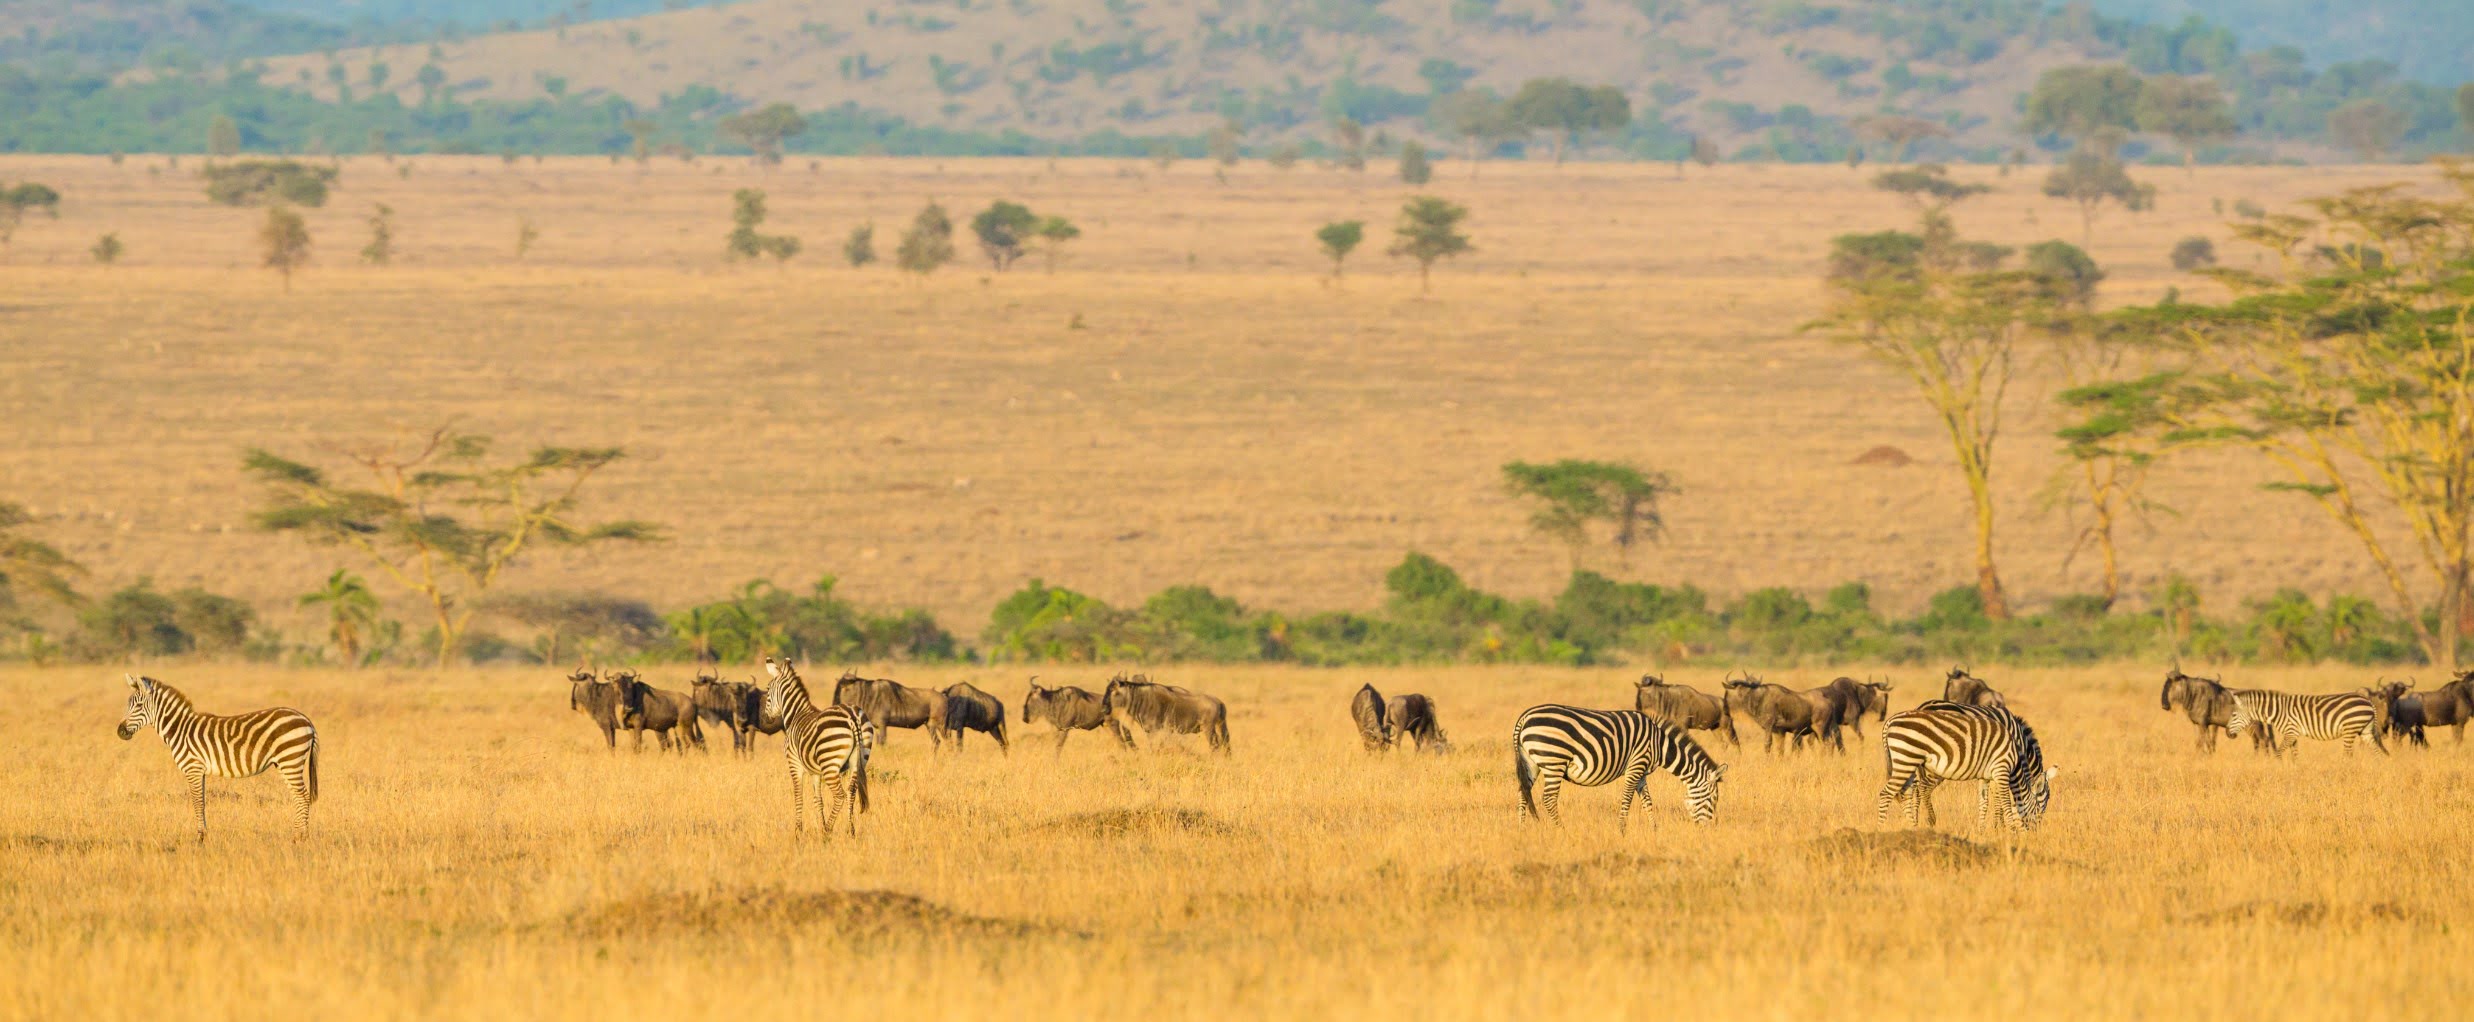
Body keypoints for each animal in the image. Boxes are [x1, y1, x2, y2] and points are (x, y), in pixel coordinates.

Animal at [114, 674, 319, 841]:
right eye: (128, 705)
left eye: (139, 706)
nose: (120, 732)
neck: (180, 729)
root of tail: (305, 718)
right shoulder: (200, 771)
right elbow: (202, 802)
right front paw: (203, 834)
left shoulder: (193, 768)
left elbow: (197, 802)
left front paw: (200, 837)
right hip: (285, 762)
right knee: (298, 796)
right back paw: (297, 834)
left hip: (290, 759)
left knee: (302, 796)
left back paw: (301, 837)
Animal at [762, 657, 874, 838]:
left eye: (767, 689)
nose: (766, 718)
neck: (796, 714)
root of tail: (852, 716)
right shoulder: (815, 771)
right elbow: (818, 800)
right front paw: (819, 824)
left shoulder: (794, 763)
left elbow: (798, 796)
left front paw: (798, 831)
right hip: (859, 760)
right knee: (851, 792)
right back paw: (850, 831)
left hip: (830, 763)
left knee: (840, 795)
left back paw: (827, 831)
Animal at [1513, 705, 1727, 827]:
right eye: (1713, 799)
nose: (1707, 829)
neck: (1658, 744)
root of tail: (1524, 717)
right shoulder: (1636, 766)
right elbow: (1627, 800)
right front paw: (1622, 830)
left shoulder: (1642, 773)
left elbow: (1648, 802)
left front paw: (1654, 830)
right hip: (1554, 760)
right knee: (1548, 798)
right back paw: (1560, 829)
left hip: (1531, 762)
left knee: (1524, 792)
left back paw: (1522, 830)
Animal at [1876, 700, 2053, 832]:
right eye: (2044, 801)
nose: (2036, 832)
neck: (2018, 740)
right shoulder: (1999, 768)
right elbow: (1999, 799)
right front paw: (2000, 827)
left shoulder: (1988, 771)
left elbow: (1985, 801)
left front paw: (1985, 829)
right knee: (1916, 789)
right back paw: (1923, 821)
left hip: (1911, 762)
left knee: (1910, 791)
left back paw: (1914, 824)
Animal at [2225, 689, 2386, 757]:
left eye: (2233, 714)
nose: (2227, 733)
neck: (2277, 711)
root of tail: (2369, 702)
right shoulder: (2293, 734)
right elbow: (2295, 755)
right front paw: (2295, 771)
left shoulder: (2290, 732)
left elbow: (2278, 752)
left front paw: (2279, 767)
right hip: (2364, 730)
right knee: (2377, 752)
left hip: (2350, 730)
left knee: (2348, 754)